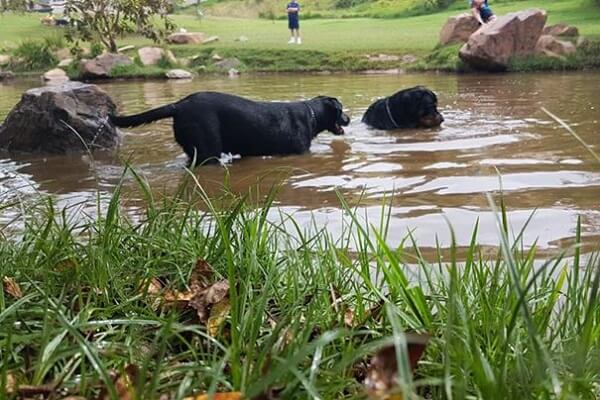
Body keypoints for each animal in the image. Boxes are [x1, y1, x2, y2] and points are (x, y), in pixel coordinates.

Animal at [111, 91, 352, 166]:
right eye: (341, 110)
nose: (349, 118)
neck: (311, 114)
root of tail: (179, 105)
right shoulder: (299, 151)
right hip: (209, 150)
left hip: (194, 150)